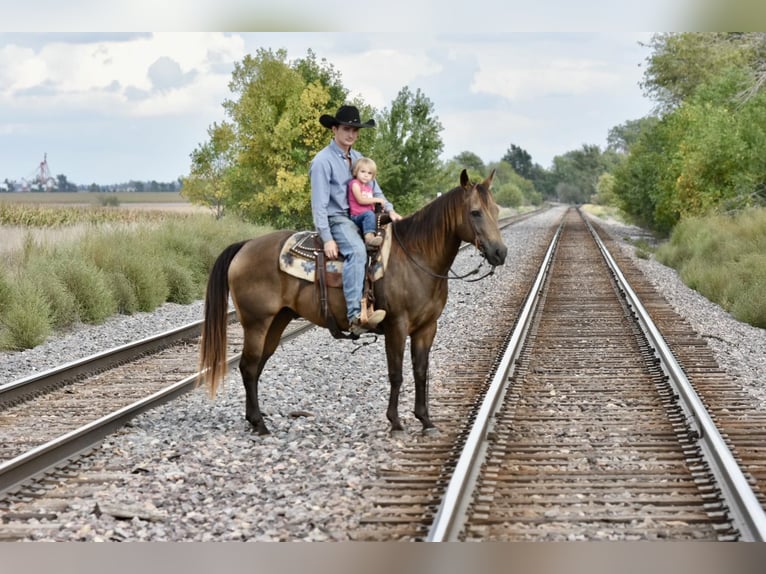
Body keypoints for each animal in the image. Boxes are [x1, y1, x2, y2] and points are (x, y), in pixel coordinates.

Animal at [198, 170, 510, 436]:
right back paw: (260, 425)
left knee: (256, 366)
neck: (416, 258)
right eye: (475, 212)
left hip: (277, 321)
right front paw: (395, 422)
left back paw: (255, 421)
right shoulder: (397, 326)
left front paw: (425, 420)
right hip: (256, 323)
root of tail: (246, 245)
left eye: (496, 210)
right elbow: (396, 373)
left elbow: (421, 372)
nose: (500, 252)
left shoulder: (427, 327)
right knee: (249, 366)